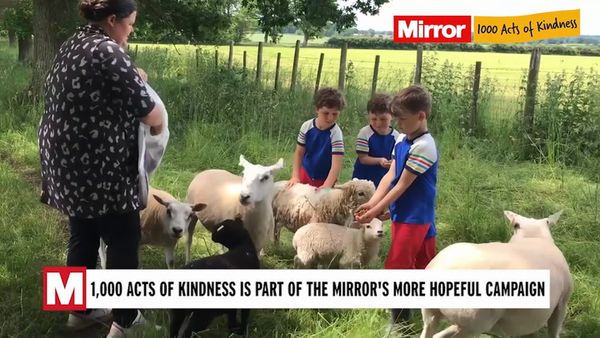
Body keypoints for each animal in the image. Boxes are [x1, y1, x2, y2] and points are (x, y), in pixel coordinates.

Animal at [420, 211, 576, 338]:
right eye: (515, 225)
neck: (533, 238)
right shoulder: (562, 303)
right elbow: (554, 330)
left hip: (432, 314)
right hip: (474, 322)